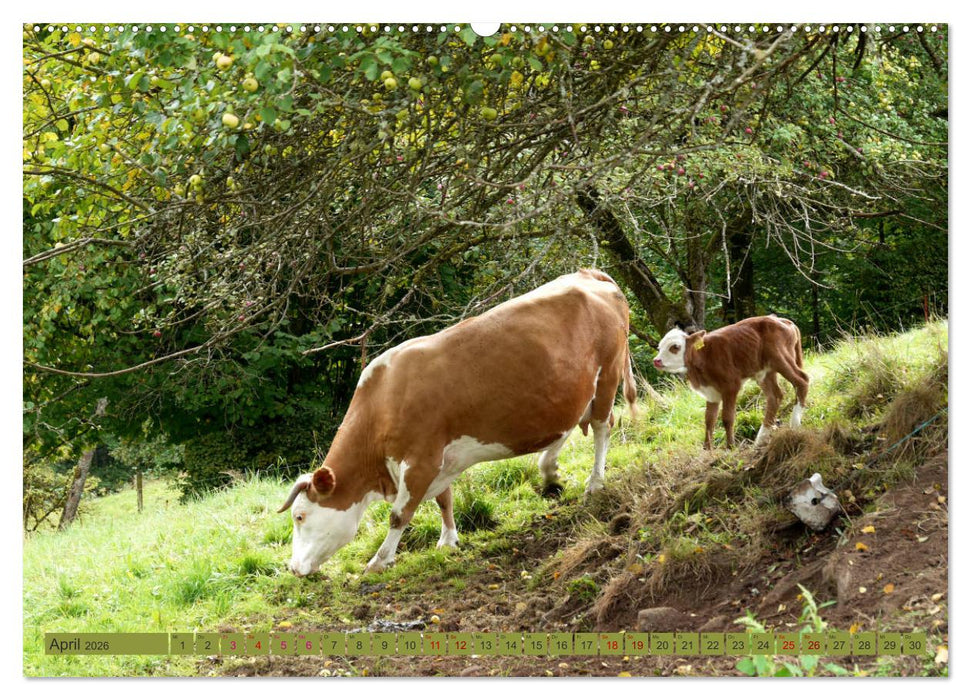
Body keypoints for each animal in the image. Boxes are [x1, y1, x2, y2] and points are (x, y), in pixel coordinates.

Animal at [278, 269, 637, 576]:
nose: (293, 568)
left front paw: (380, 560)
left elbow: (399, 515)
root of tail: (589, 274)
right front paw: (448, 540)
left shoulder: (421, 460)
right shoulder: (440, 457)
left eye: (300, 516)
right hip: (573, 392)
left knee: (602, 427)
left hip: (608, 374)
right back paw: (550, 471)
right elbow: (444, 499)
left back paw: (594, 483)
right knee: (572, 425)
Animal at [652, 315, 809, 449]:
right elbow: (709, 420)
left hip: (780, 358)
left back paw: (794, 424)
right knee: (775, 396)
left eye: (675, 347)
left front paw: (730, 447)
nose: (656, 361)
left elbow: (727, 418)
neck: (704, 357)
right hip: (764, 371)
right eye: (659, 347)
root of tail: (783, 320)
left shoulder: (730, 386)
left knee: (802, 380)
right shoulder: (711, 392)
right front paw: (707, 449)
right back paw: (760, 439)